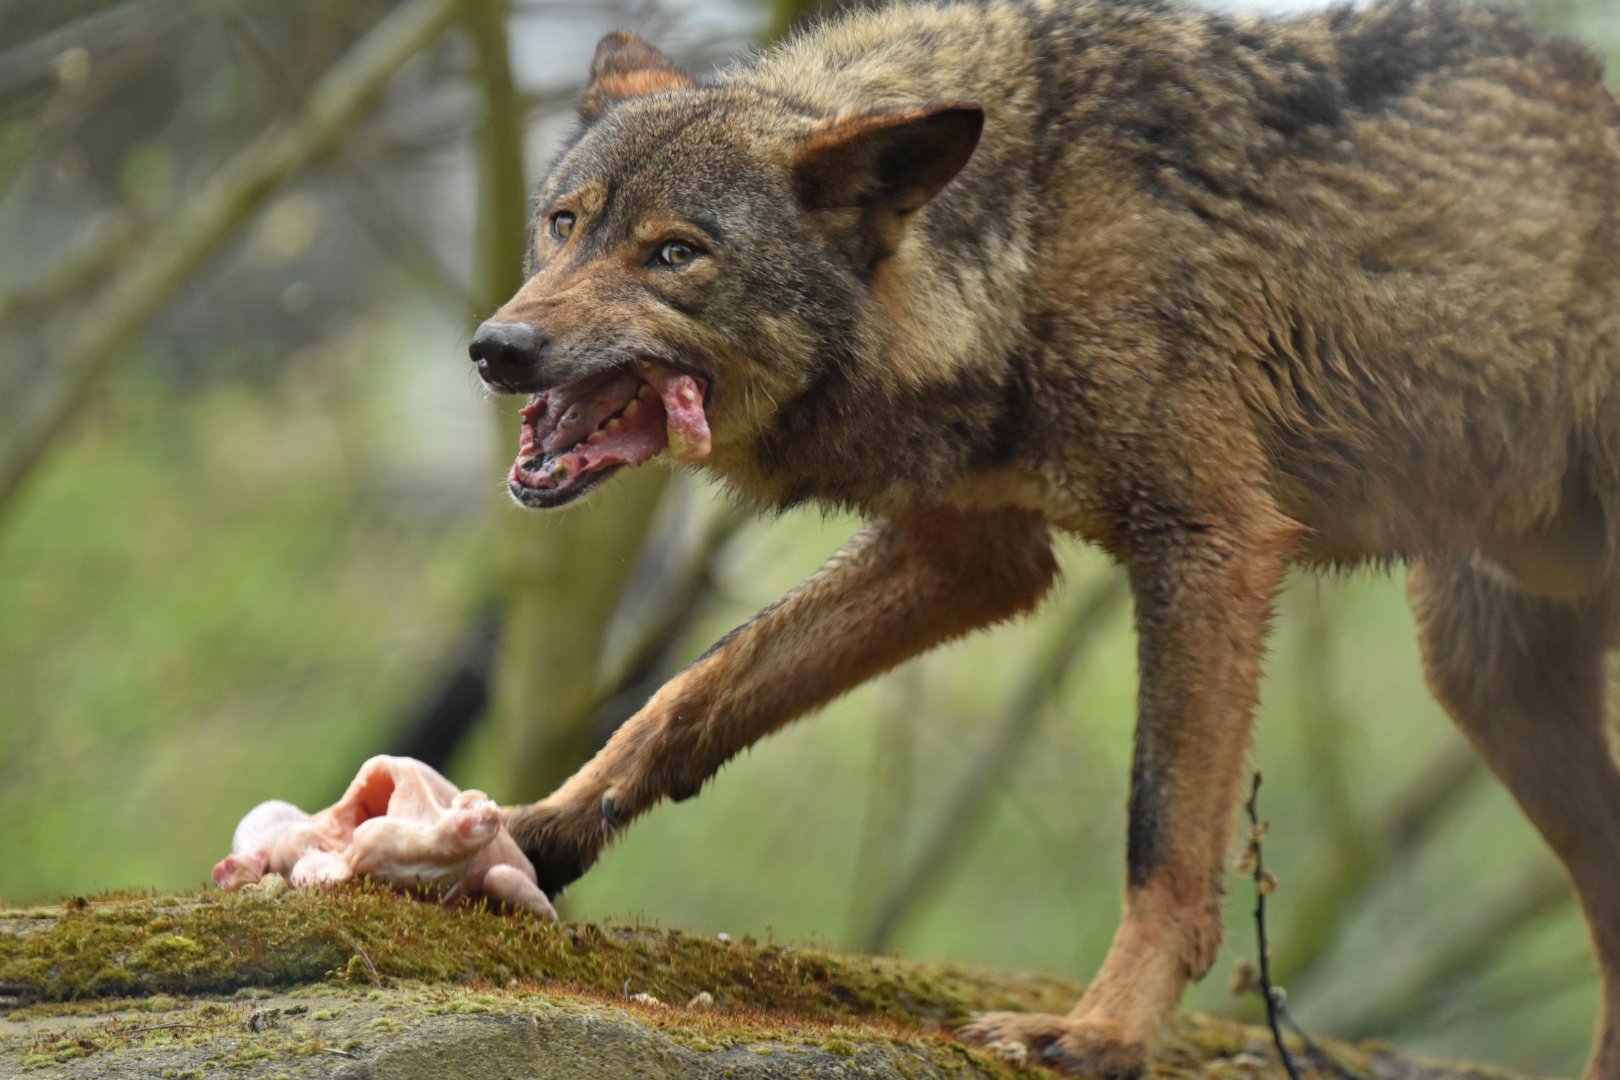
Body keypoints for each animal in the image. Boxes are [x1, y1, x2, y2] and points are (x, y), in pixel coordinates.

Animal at [466, 0, 1620, 1073]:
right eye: (563, 224)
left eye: (676, 253)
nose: (496, 347)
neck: (1026, 239)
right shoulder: (974, 555)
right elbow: (689, 692)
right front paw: (535, 832)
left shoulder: (1209, 543)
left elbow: (1162, 837)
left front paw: (1102, 1030)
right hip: (1481, 673)